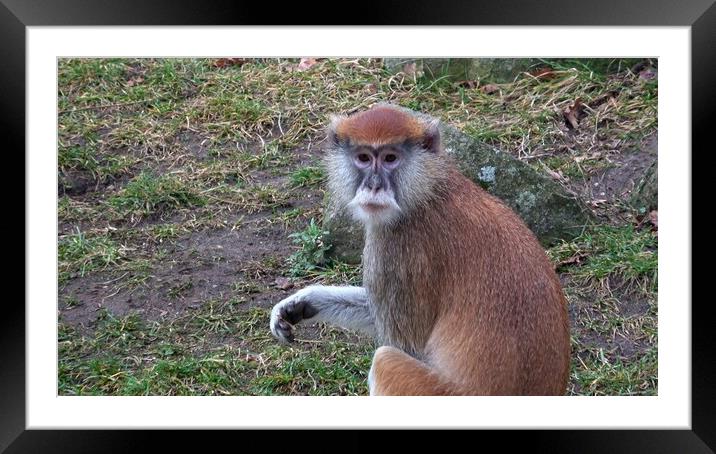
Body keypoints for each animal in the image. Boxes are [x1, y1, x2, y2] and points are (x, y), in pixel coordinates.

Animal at [268, 103, 572, 394]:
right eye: (363, 158)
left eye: (390, 158)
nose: (374, 185)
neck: (428, 190)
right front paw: (302, 303)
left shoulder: (398, 245)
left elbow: (408, 345)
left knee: (385, 361)